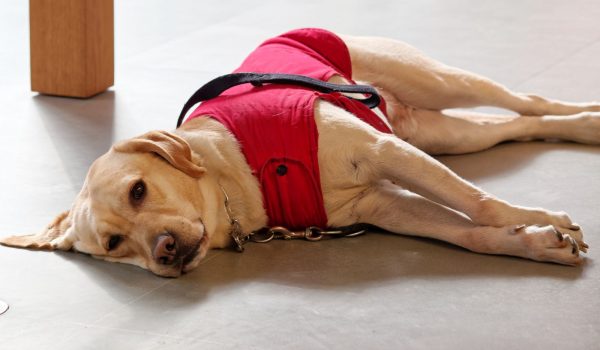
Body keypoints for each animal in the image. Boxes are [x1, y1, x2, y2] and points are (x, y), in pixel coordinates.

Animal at [2, 28, 596, 278]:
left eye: (139, 190)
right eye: (113, 243)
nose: (165, 252)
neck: (243, 176)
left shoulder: (384, 150)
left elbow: (481, 203)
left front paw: (540, 217)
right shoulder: (385, 204)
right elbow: (470, 232)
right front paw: (535, 242)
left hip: (441, 84)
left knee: (527, 100)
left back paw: (589, 117)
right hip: (444, 135)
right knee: (522, 125)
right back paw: (582, 127)